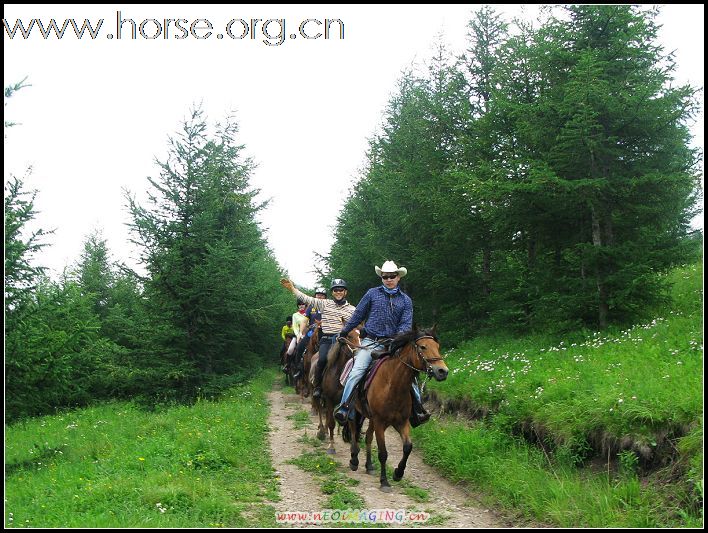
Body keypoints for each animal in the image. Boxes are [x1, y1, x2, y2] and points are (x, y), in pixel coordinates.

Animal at [344, 326, 448, 492]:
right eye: (423, 347)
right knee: (353, 430)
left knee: (368, 437)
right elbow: (383, 453)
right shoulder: (380, 423)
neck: (392, 386)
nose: (443, 371)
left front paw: (398, 473)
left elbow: (407, 447)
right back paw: (354, 459)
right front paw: (384, 482)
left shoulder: (402, 422)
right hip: (357, 410)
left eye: (437, 347)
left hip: (371, 418)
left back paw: (369, 465)